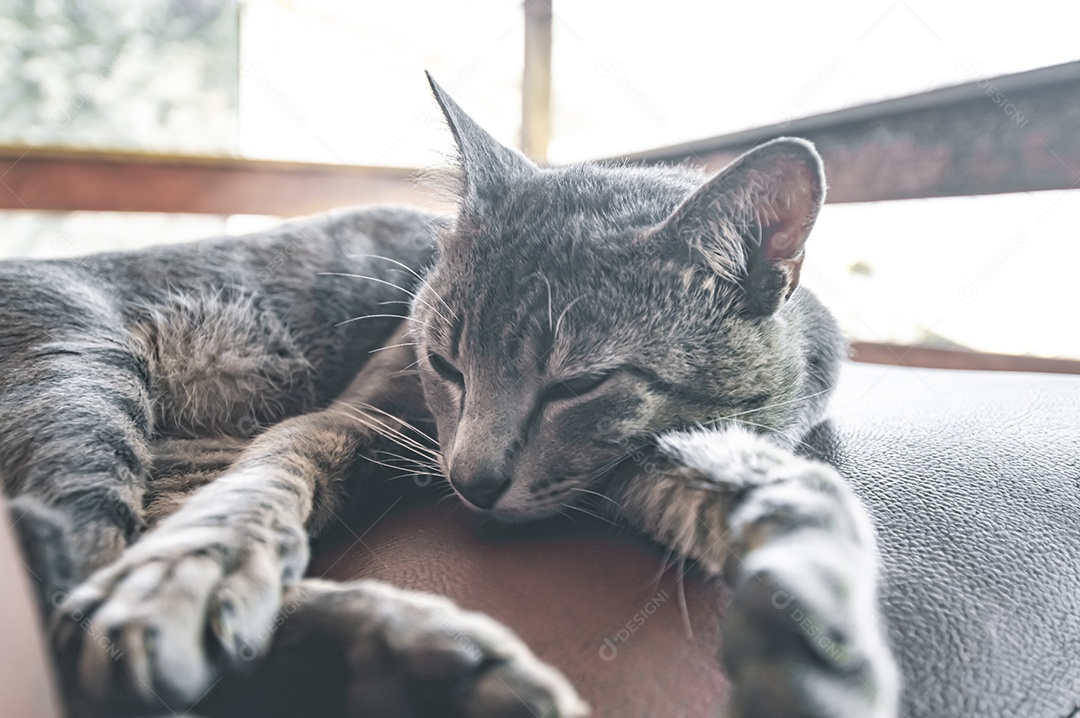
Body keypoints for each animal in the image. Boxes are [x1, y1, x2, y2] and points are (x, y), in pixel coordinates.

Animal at [0, 75, 898, 712]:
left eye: (579, 383)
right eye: (447, 364)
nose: (471, 481)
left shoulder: (684, 445)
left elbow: (799, 499)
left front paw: (820, 647)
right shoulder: (351, 412)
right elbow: (260, 486)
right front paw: (192, 569)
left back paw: (425, 664)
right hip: (84, 373)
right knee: (76, 589)